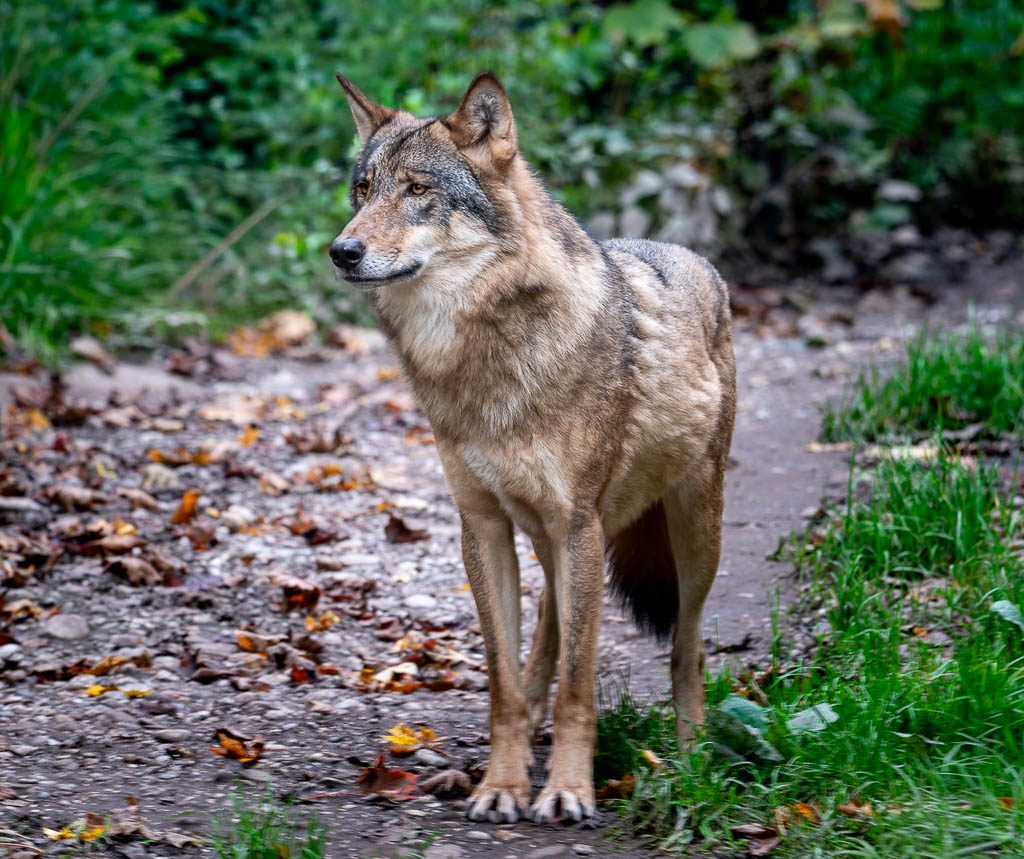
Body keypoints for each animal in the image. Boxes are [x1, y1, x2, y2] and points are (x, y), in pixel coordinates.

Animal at [329, 71, 736, 825]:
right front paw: (502, 783)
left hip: (690, 534)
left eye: (418, 190)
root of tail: (692, 256)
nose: (342, 251)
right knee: (546, 636)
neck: (481, 357)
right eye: (363, 190)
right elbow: (505, 683)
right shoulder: (483, 526)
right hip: (556, 541)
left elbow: (579, 684)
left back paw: (691, 758)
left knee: (687, 649)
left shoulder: (577, 525)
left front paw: (568, 789)